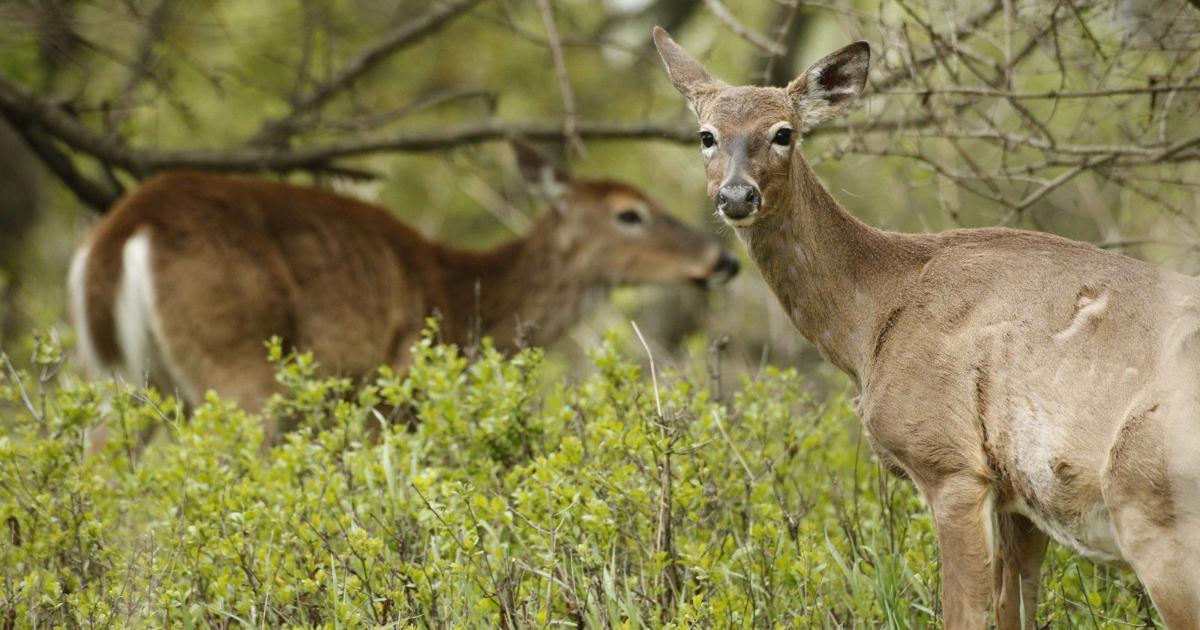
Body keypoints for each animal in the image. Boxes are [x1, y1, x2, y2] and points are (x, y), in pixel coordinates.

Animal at [68, 141, 738, 444]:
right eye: (630, 214)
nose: (723, 260)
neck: (460, 299)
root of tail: (126, 228)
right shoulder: (401, 380)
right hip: (237, 366)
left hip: (127, 379)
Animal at [654, 26, 1200, 629]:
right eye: (706, 134)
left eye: (783, 133)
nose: (736, 196)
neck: (872, 321)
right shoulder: (1019, 496)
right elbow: (1014, 609)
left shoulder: (947, 460)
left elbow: (963, 613)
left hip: (1151, 502)